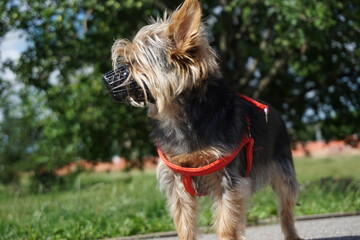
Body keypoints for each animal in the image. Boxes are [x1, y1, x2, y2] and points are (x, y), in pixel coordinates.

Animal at [102, 0, 302, 239]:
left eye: (133, 62)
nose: (105, 79)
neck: (179, 118)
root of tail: (274, 110)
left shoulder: (228, 179)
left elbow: (226, 223)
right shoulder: (177, 182)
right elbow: (185, 223)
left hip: (283, 169)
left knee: (285, 207)